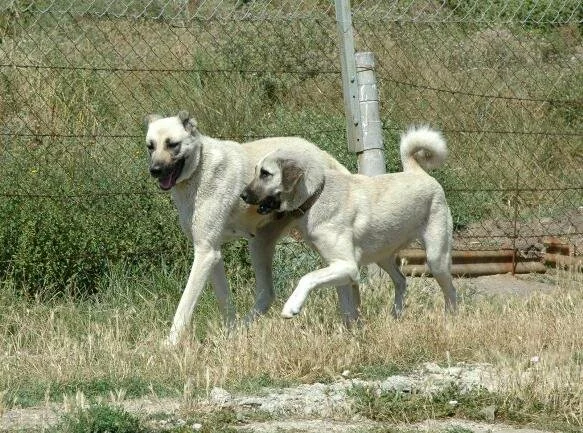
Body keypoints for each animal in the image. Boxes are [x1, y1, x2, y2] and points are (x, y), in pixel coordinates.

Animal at [146, 111, 352, 344]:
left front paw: (170, 343)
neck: (200, 167)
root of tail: (324, 155)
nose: (154, 170)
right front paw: (229, 336)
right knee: (267, 294)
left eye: (172, 144)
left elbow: (185, 304)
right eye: (150, 146)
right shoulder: (211, 254)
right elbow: (225, 300)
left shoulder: (204, 253)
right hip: (259, 244)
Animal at [241, 126, 456, 318]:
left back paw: (450, 318)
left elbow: (307, 277)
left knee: (451, 291)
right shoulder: (339, 269)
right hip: (382, 256)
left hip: (436, 258)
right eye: (256, 171)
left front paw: (291, 307)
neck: (316, 195)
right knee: (401, 281)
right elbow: (347, 309)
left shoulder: (347, 266)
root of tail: (418, 172)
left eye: (265, 173)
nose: (243, 195)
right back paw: (396, 315)